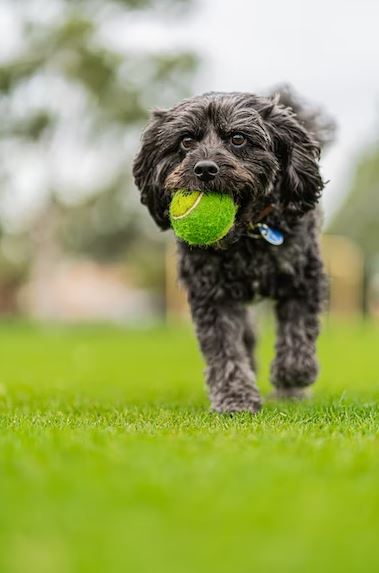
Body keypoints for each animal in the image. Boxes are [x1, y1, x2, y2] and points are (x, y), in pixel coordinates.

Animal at [132, 86, 334, 412]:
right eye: (186, 141)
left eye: (238, 138)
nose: (204, 169)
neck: (246, 239)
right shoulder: (212, 295)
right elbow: (226, 350)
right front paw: (235, 397)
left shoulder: (304, 279)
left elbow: (298, 336)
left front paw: (291, 377)